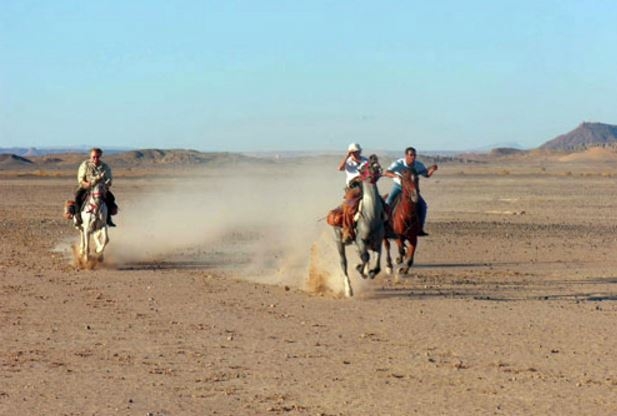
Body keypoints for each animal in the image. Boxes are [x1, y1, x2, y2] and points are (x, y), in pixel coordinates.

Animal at [332, 158, 384, 298]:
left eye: (376, 164)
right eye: (365, 167)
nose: (373, 158)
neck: (370, 215)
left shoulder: (377, 242)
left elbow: (377, 264)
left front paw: (370, 272)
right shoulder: (361, 240)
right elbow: (365, 257)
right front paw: (360, 269)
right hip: (339, 241)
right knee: (343, 263)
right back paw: (348, 290)